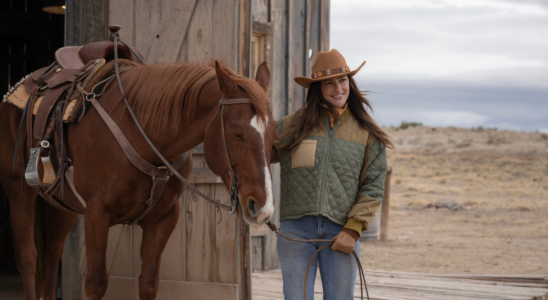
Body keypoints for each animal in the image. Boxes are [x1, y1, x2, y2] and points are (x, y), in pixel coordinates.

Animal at [1, 59, 278, 300]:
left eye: (273, 133)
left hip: (64, 204)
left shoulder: (164, 219)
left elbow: (148, 282)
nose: (262, 207)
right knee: (28, 257)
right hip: (18, 192)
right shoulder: (97, 214)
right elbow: (95, 283)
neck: (143, 136)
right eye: (237, 133)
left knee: (51, 252)